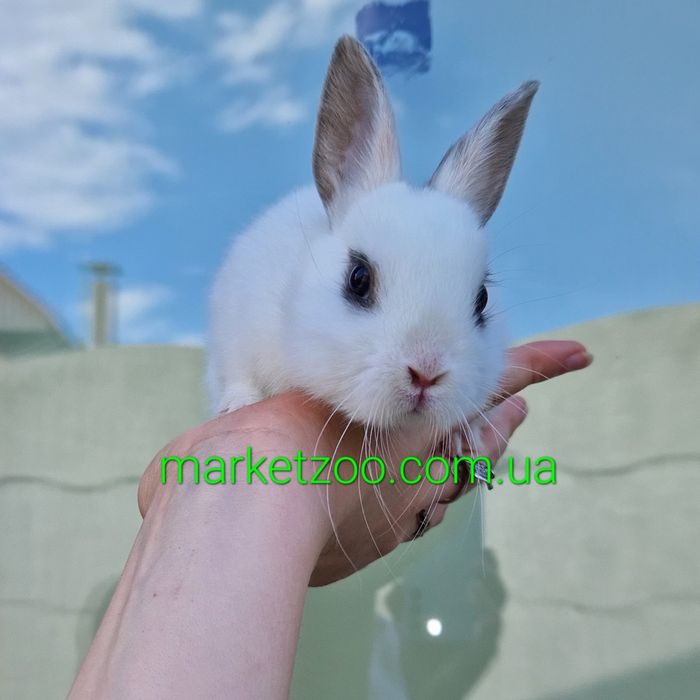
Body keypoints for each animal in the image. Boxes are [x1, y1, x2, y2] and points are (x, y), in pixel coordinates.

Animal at [208, 35, 538, 461]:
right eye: (358, 278)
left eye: (481, 300)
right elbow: (239, 373)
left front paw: (465, 437)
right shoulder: (236, 325)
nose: (426, 372)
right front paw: (238, 405)